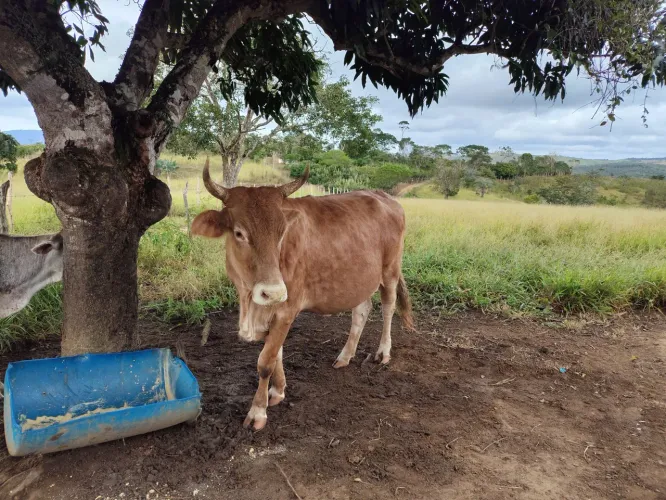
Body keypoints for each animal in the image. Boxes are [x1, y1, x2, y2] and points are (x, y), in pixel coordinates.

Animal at [191, 160, 414, 430]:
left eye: (281, 233)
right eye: (239, 233)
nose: (273, 292)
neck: (249, 303)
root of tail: (386, 197)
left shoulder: (287, 309)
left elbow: (266, 361)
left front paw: (258, 411)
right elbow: (277, 353)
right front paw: (277, 391)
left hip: (391, 270)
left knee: (389, 307)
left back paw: (383, 352)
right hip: (359, 278)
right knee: (361, 311)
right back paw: (345, 355)